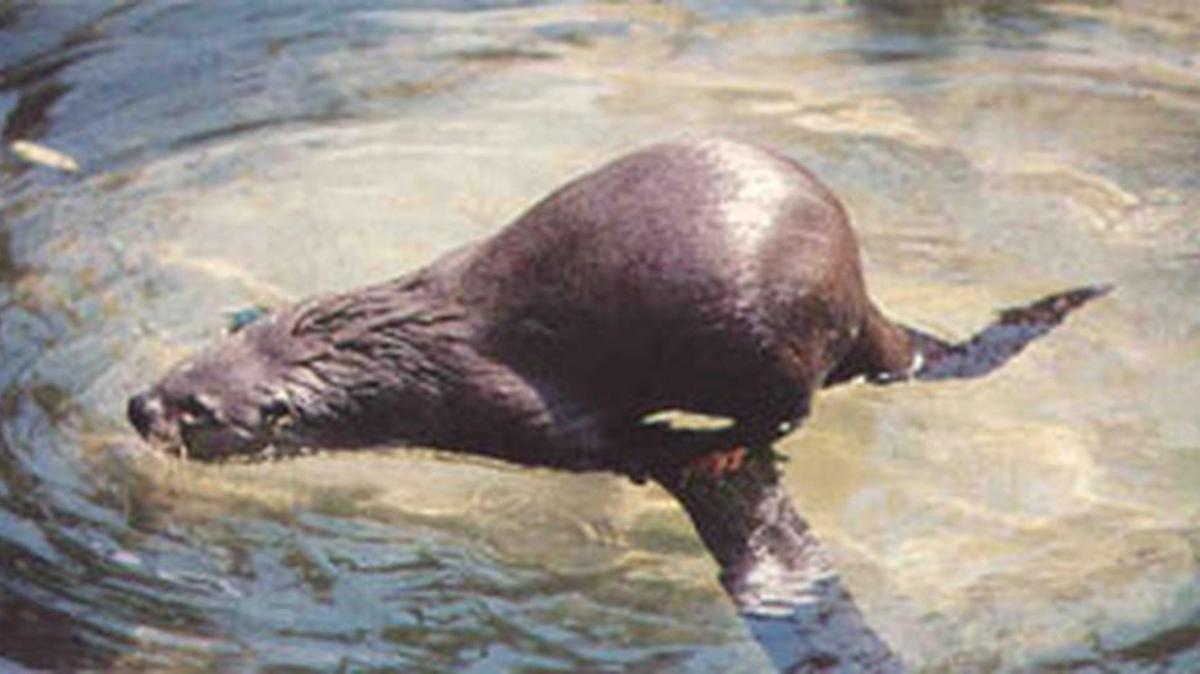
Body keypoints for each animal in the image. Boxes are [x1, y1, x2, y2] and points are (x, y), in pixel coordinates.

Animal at [127, 138, 1106, 476]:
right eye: (172, 370)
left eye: (195, 409)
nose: (138, 406)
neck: (400, 356)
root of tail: (857, 286)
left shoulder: (504, 404)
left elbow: (586, 442)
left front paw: (653, 446)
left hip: (774, 342)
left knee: (788, 411)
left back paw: (720, 441)